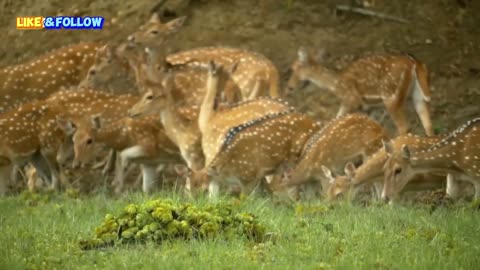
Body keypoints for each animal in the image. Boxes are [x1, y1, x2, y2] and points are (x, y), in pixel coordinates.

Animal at [286, 47, 436, 136]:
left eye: (295, 67)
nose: (290, 87)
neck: (336, 84)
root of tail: (415, 63)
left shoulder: (351, 99)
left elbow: (336, 120)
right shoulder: (370, 107)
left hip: (391, 95)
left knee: (404, 126)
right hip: (417, 95)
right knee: (427, 123)